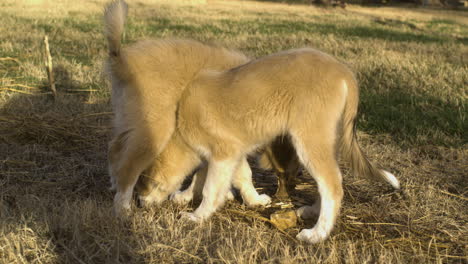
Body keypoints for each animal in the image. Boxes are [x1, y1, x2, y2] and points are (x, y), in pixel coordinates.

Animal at [163, 49, 400, 243]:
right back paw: (312, 212)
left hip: (309, 141)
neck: (182, 127)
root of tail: (345, 72)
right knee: (329, 182)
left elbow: (210, 188)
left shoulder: (224, 154)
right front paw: (185, 197)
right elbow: (207, 177)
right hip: (325, 140)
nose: (146, 203)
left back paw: (317, 234)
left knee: (332, 185)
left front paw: (196, 216)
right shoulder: (227, 154)